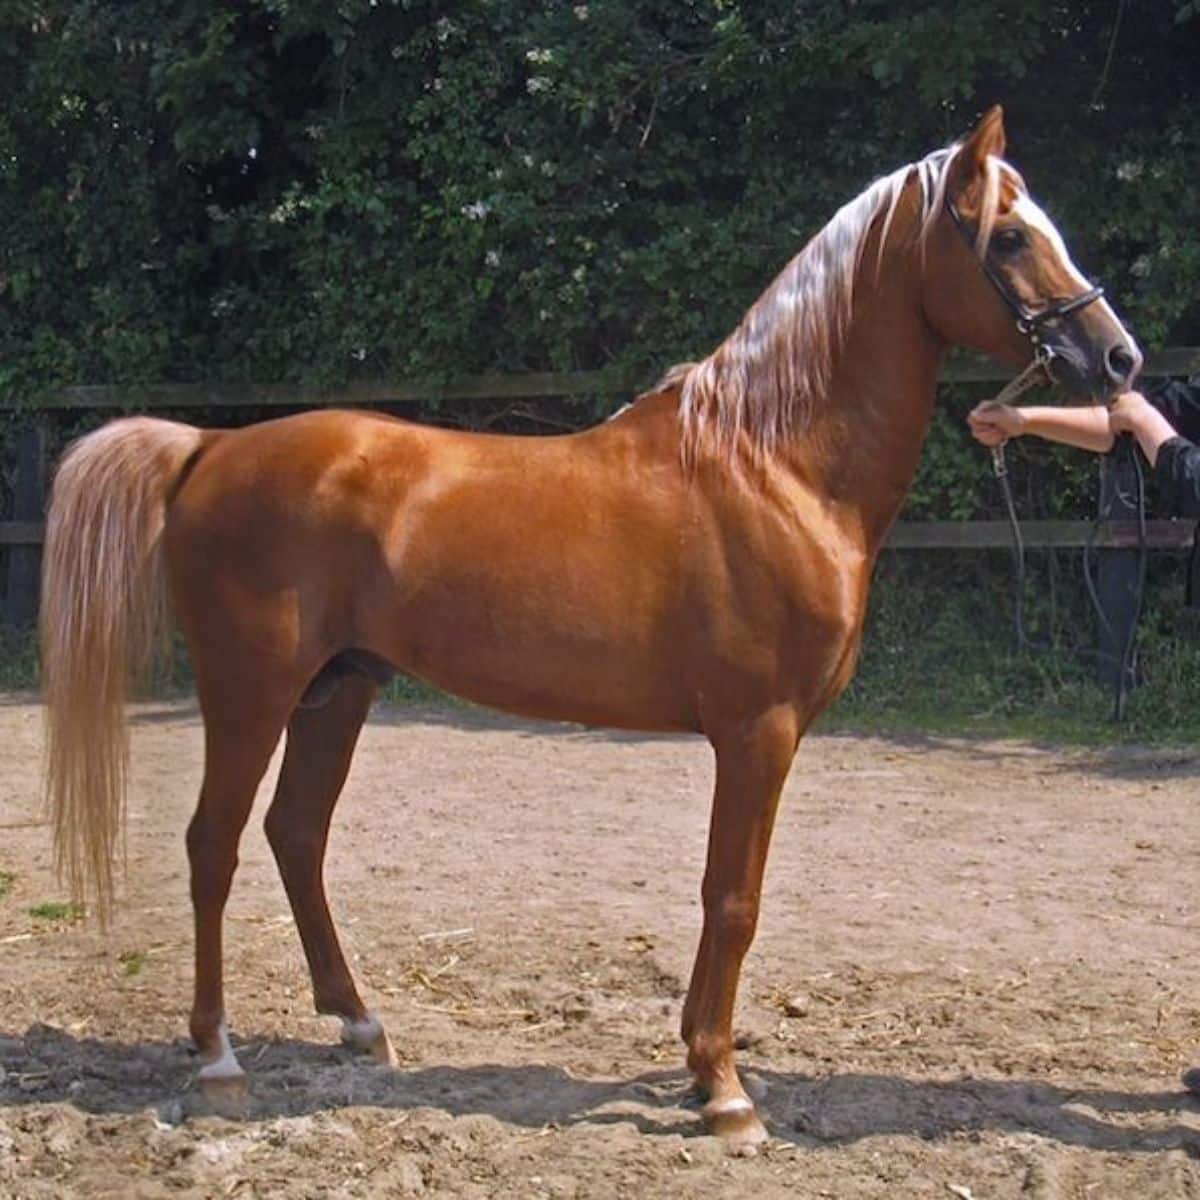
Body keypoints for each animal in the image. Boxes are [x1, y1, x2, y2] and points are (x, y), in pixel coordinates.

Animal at [42, 108, 1137, 1147]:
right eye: (1007, 235)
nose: (1117, 355)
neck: (772, 462)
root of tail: (209, 446)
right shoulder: (759, 732)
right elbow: (732, 900)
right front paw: (725, 1092)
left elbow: (722, 895)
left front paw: (699, 1066)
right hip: (251, 692)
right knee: (213, 845)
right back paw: (219, 1058)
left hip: (338, 690)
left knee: (295, 834)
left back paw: (360, 1023)